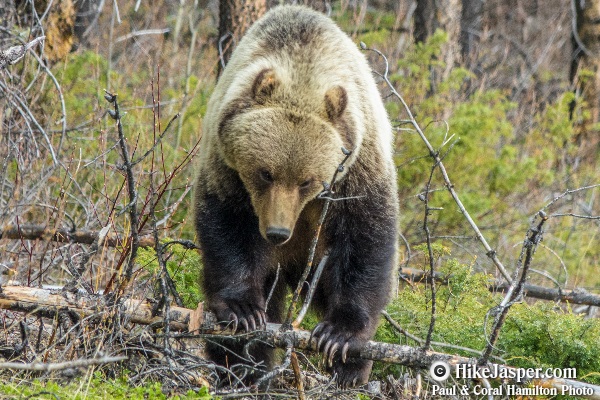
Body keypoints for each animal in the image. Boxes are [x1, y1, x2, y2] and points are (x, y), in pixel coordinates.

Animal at [193, 4, 398, 390]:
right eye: (265, 172)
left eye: (307, 181)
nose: (277, 232)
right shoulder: (226, 165)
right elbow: (227, 224)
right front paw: (243, 312)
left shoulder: (358, 166)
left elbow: (366, 237)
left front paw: (340, 336)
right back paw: (239, 365)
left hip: (316, 257)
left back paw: (350, 371)